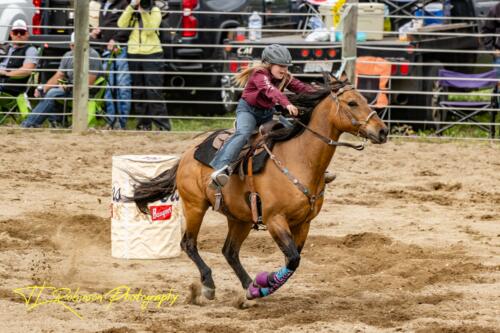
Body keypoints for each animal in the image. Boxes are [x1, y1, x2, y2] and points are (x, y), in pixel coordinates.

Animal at [129, 76, 386, 304]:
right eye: (352, 103)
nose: (382, 131)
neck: (300, 158)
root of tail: (186, 154)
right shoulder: (275, 219)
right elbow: (292, 259)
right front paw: (266, 281)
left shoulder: (304, 223)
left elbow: (294, 259)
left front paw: (260, 287)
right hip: (195, 206)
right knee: (189, 244)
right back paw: (210, 285)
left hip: (239, 218)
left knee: (230, 251)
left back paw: (249, 287)